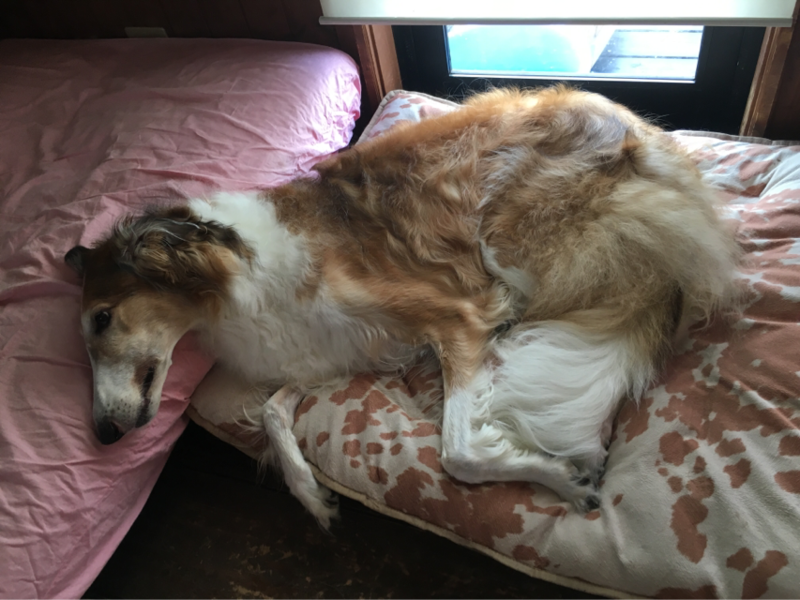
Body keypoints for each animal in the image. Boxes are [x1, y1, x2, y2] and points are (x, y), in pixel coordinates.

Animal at [65, 87, 738, 528]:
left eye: (102, 319)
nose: (101, 436)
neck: (242, 268)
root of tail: (653, 140)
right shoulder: (329, 350)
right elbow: (274, 415)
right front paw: (310, 493)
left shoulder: (455, 316)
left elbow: (460, 453)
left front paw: (560, 478)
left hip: (508, 238)